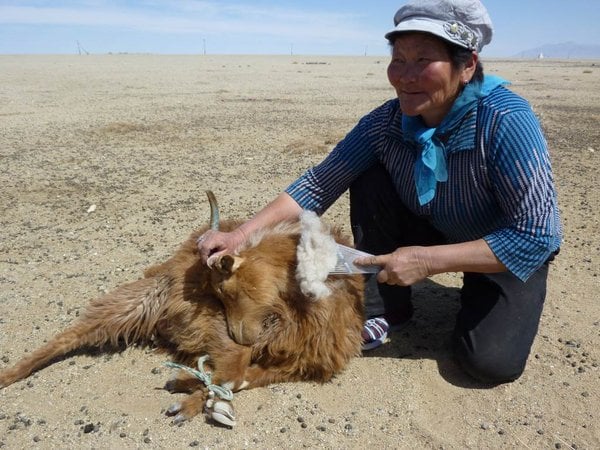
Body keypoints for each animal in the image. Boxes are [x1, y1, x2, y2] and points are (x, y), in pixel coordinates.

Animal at [0, 192, 364, 428]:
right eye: (220, 295)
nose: (241, 333)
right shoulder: (225, 331)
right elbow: (234, 373)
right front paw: (193, 397)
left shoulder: (300, 362)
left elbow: (244, 378)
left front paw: (193, 392)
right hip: (146, 297)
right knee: (72, 333)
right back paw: (9, 375)